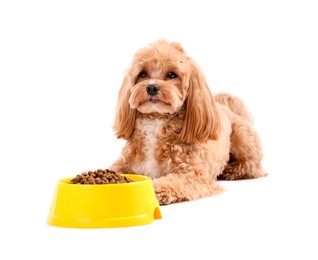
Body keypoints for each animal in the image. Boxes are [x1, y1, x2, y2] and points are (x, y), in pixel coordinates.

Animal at [110, 39, 264, 205]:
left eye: (172, 74)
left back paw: (232, 170)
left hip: (242, 138)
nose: (151, 87)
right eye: (142, 74)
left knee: (252, 165)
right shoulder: (124, 163)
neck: (156, 120)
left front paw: (152, 190)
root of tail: (226, 108)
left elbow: (169, 182)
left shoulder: (192, 174)